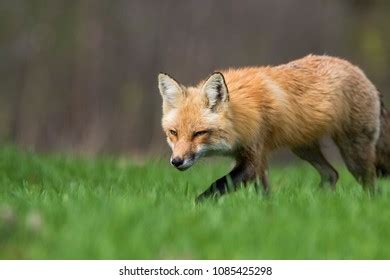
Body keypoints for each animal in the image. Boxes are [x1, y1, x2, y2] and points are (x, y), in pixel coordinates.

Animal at [157, 54, 388, 202]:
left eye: (199, 133)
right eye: (173, 133)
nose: (176, 161)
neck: (241, 116)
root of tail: (360, 71)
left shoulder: (254, 153)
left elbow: (219, 185)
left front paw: (193, 206)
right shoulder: (254, 157)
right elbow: (264, 191)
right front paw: (269, 211)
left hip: (354, 154)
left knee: (371, 186)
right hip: (303, 148)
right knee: (331, 174)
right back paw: (315, 202)